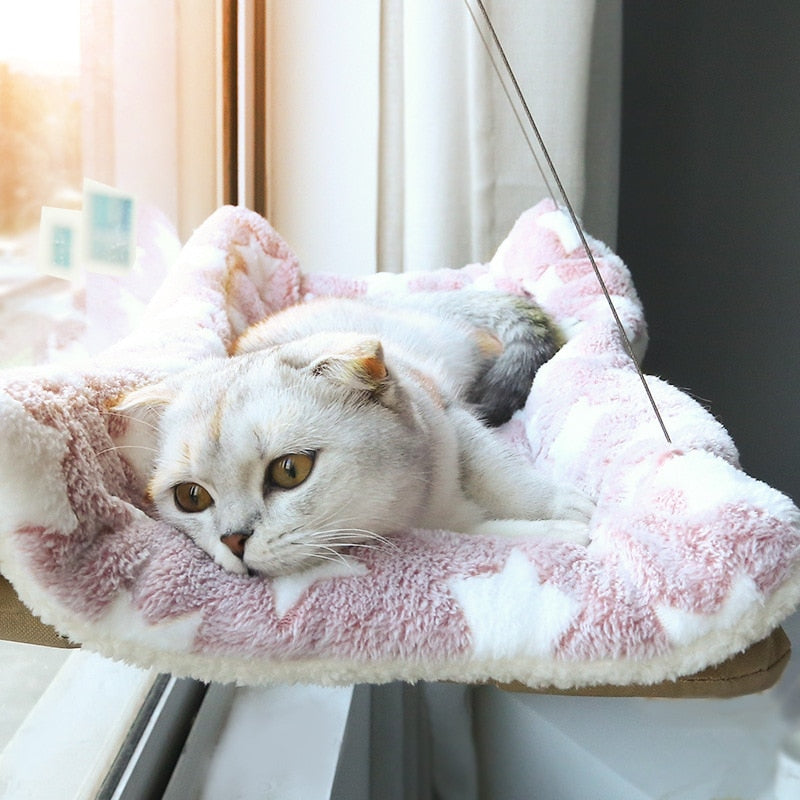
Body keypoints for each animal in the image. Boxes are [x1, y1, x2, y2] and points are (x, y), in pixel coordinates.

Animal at [119, 290, 592, 576]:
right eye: (191, 497)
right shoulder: (445, 531)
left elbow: (502, 477)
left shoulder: (450, 413)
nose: (234, 541)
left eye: (290, 470)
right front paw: (559, 533)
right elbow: (488, 534)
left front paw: (565, 508)